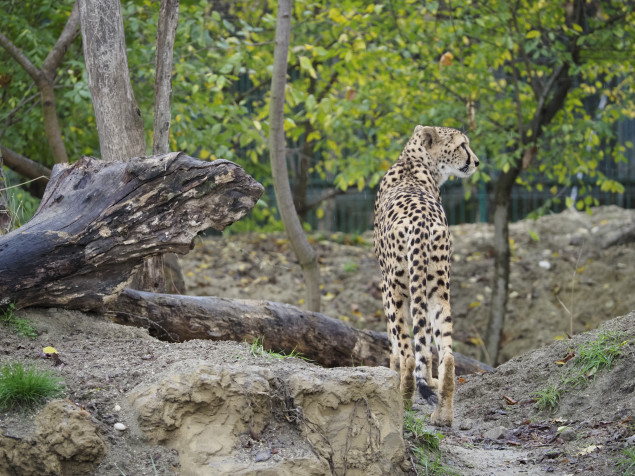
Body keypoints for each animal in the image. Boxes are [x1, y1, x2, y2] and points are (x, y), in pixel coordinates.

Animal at [372, 124, 476, 426]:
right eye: (463, 145)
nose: (476, 162)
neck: (413, 163)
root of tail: (421, 222)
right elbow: (427, 343)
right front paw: (430, 380)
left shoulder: (385, 285)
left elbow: (397, 343)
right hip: (438, 289)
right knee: (448, 356)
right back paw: (443, 415)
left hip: (395, 289)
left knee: (408, 354)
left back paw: (403, 400)